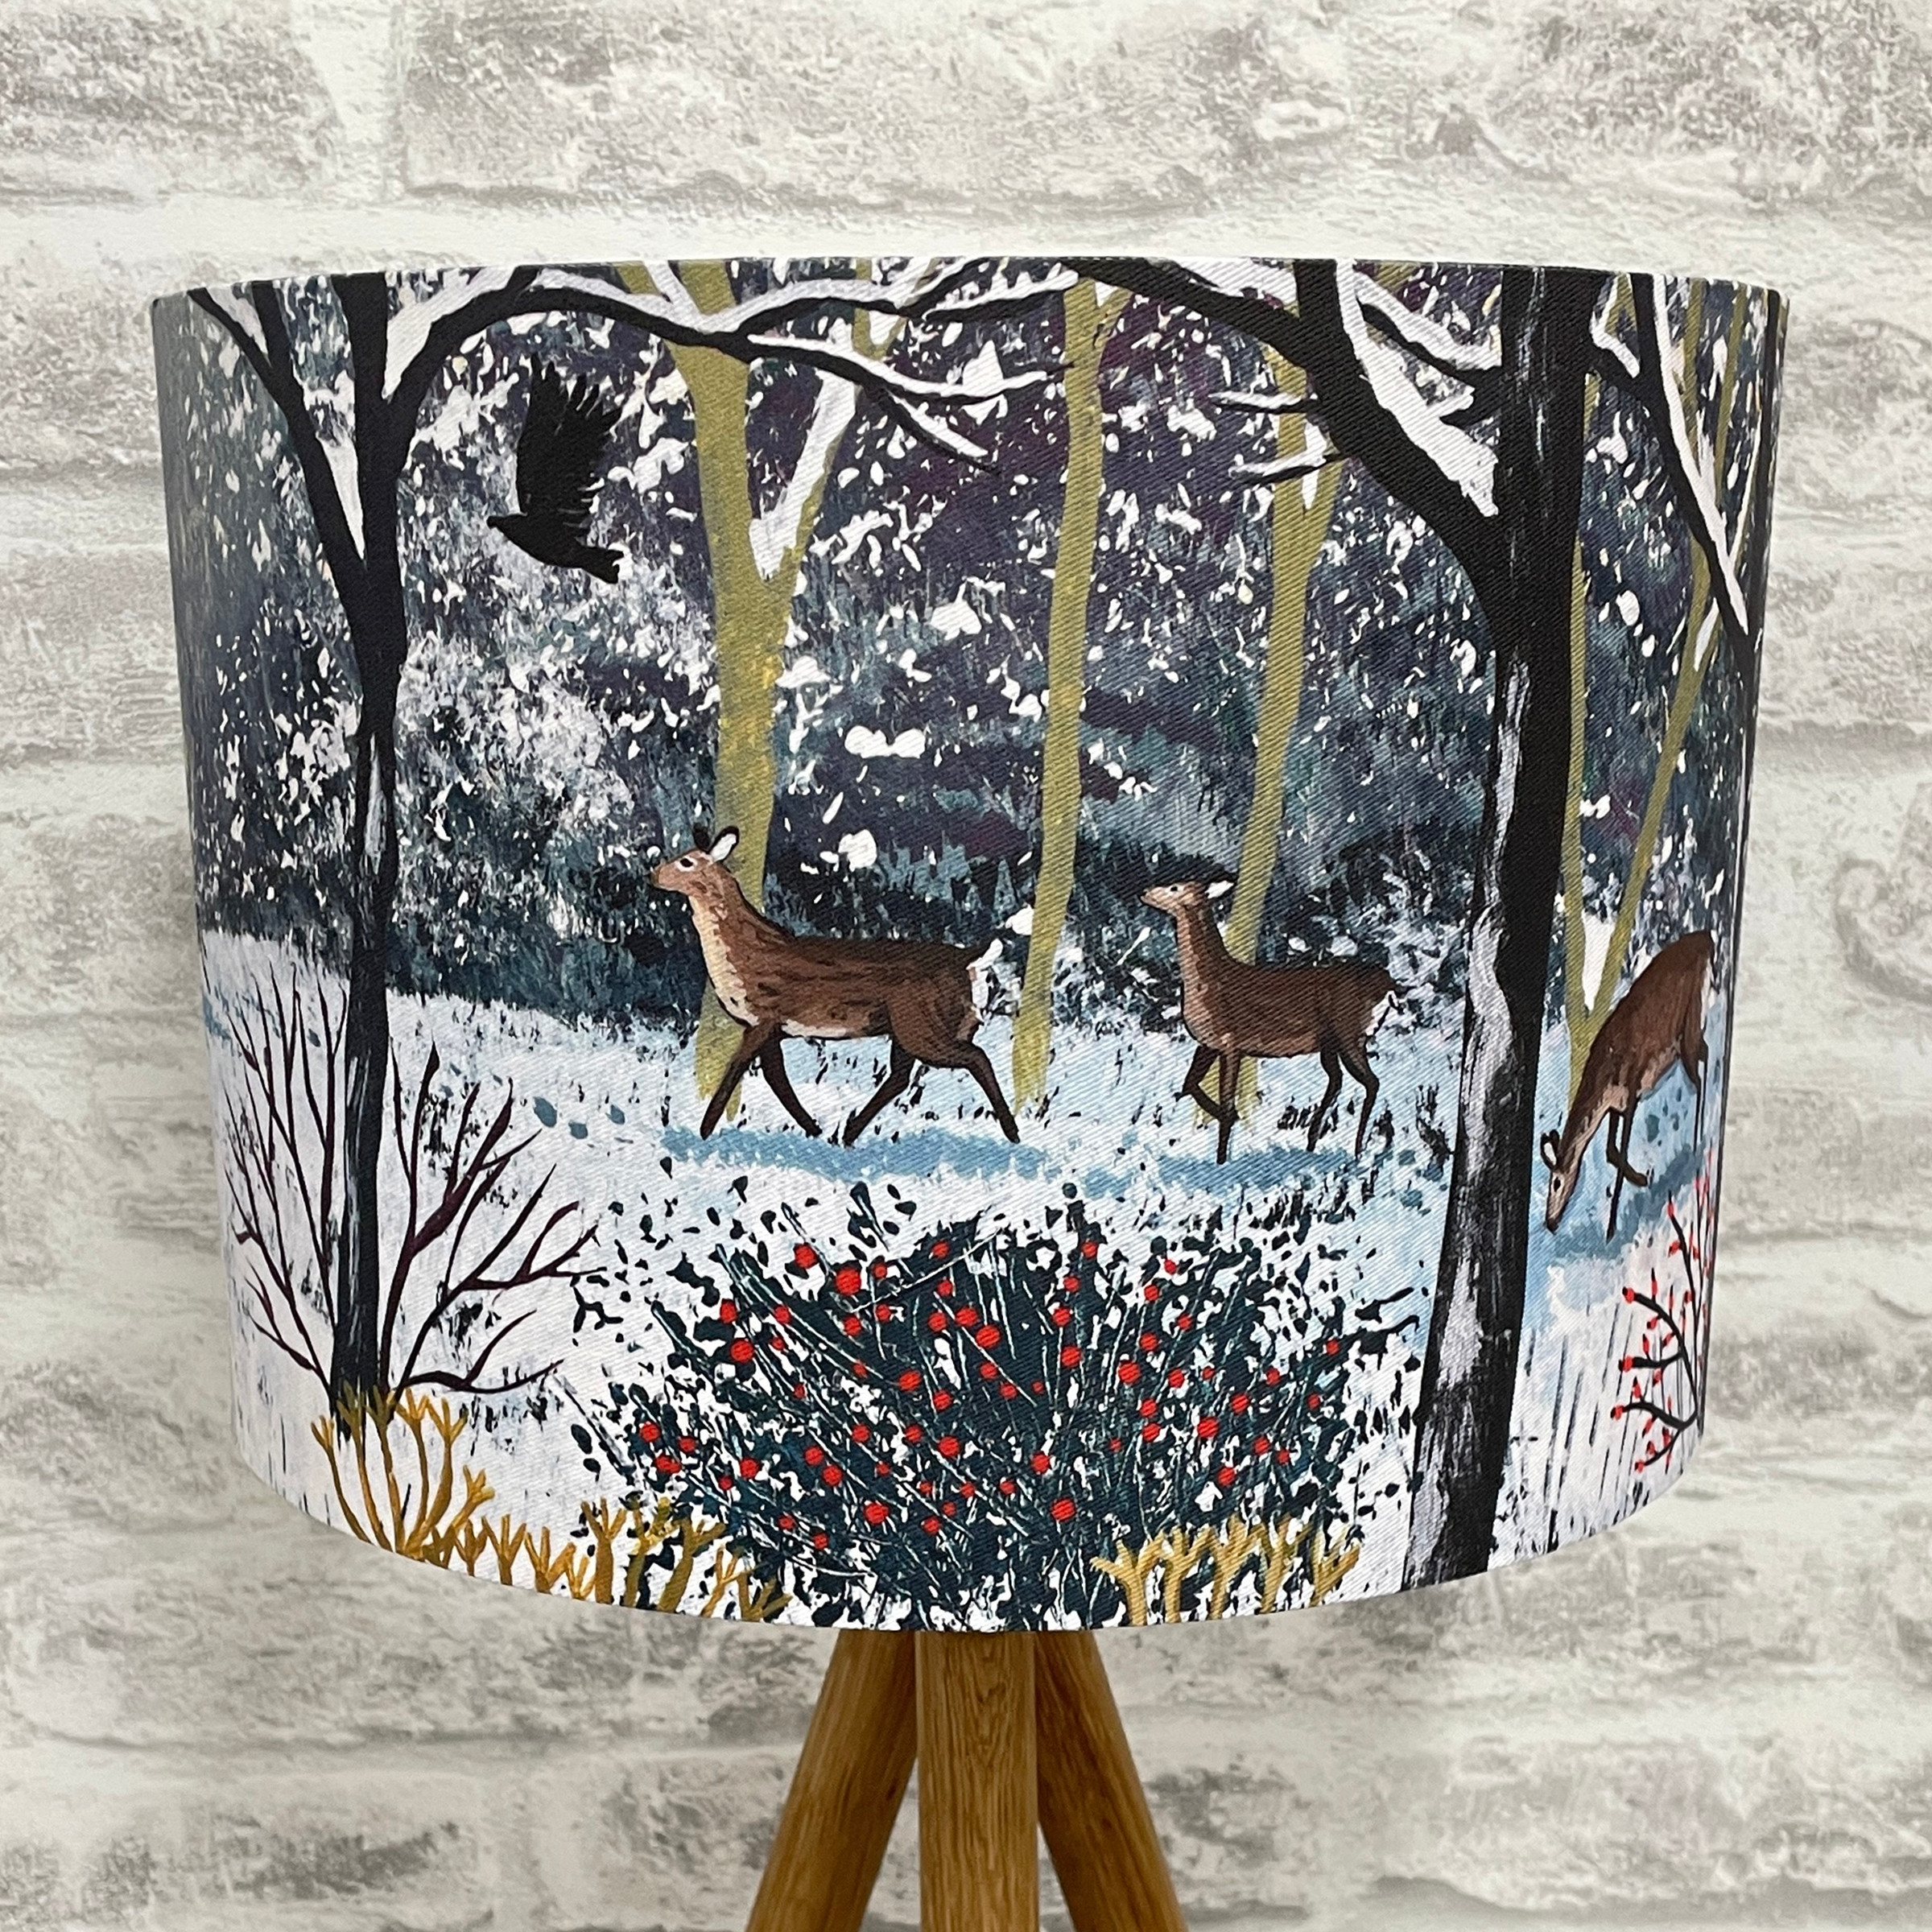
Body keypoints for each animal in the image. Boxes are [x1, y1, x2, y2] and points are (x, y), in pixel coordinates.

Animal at [651, 828, 1020, 1148]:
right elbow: (776, 1077)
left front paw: (704, 1130)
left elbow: (740, 1068)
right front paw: (813, 1129)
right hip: (911, 1025)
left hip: (921, 1021)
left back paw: (1012, 1132)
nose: (653, 875)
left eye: (686, 861)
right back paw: (848, 1133)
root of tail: (971, 961)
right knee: (901, 1076)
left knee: (975, 1056)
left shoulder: (765, 1013)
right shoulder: (772, 1026)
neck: (742, 959)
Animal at [1141, 879, 1396, 1165]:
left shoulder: (1231, 1042)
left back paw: (1357, 1150)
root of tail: (1387, 986)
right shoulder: (1208, 1043)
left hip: (1348, 1033)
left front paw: (1222, 1158)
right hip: (1330, 1042)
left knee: (1371, 1082)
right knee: (1337, 1080)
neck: (1207, 983)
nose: (1145, 892)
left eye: (1175, 888)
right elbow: (1189, 1084)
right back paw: (1312, 1143)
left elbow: (1226, 1101)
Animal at [1542, 928, 1712, 1241]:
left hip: (1688, 1029)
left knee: (1698, 1075)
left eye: (1556, 1183)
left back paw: (1697, 1141)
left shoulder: (1633, 1091)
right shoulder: (1616, 1106)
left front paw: (1610, 1230)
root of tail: (1706, 938)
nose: (1550, 1222)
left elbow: (1619, 1150)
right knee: (1705, 1058)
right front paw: (1642, 1179)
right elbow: (1612, 1151)